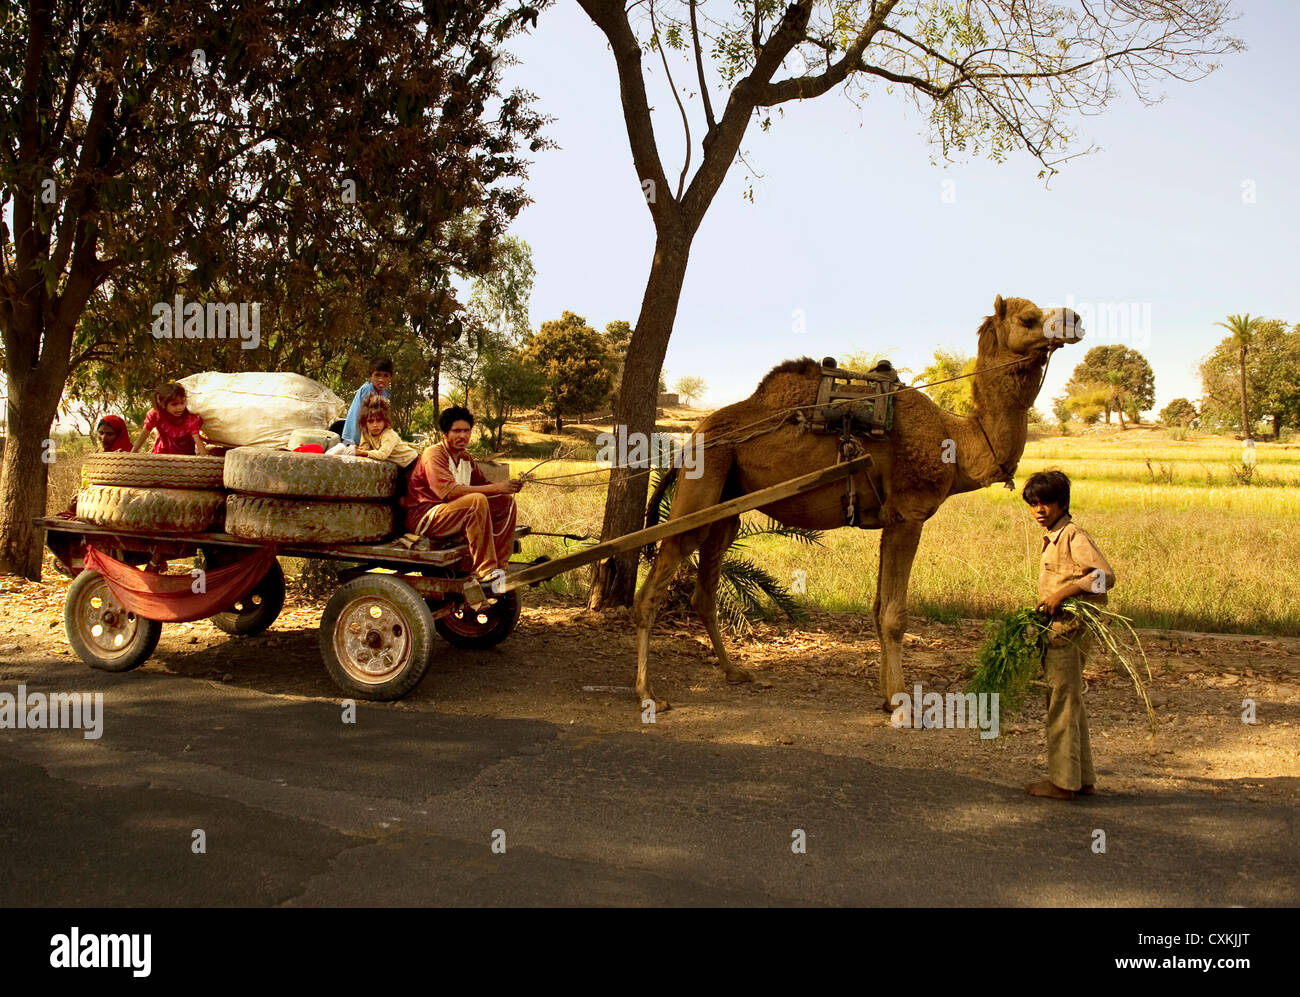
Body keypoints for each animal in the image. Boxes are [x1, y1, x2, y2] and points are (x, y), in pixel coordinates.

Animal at [634, 296, 1081, 707]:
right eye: (1029, 318)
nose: (1076, 318)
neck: (957, 443)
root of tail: (691, 441)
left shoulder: (891, 518)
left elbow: (879, 606)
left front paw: (886, 694)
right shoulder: (910, 514)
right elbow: (894, 615)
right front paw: (900, 700)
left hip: (726, 506)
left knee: (704, 589)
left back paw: (733, 671)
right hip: (703, 481)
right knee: (652, 588)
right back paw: (647, 693)